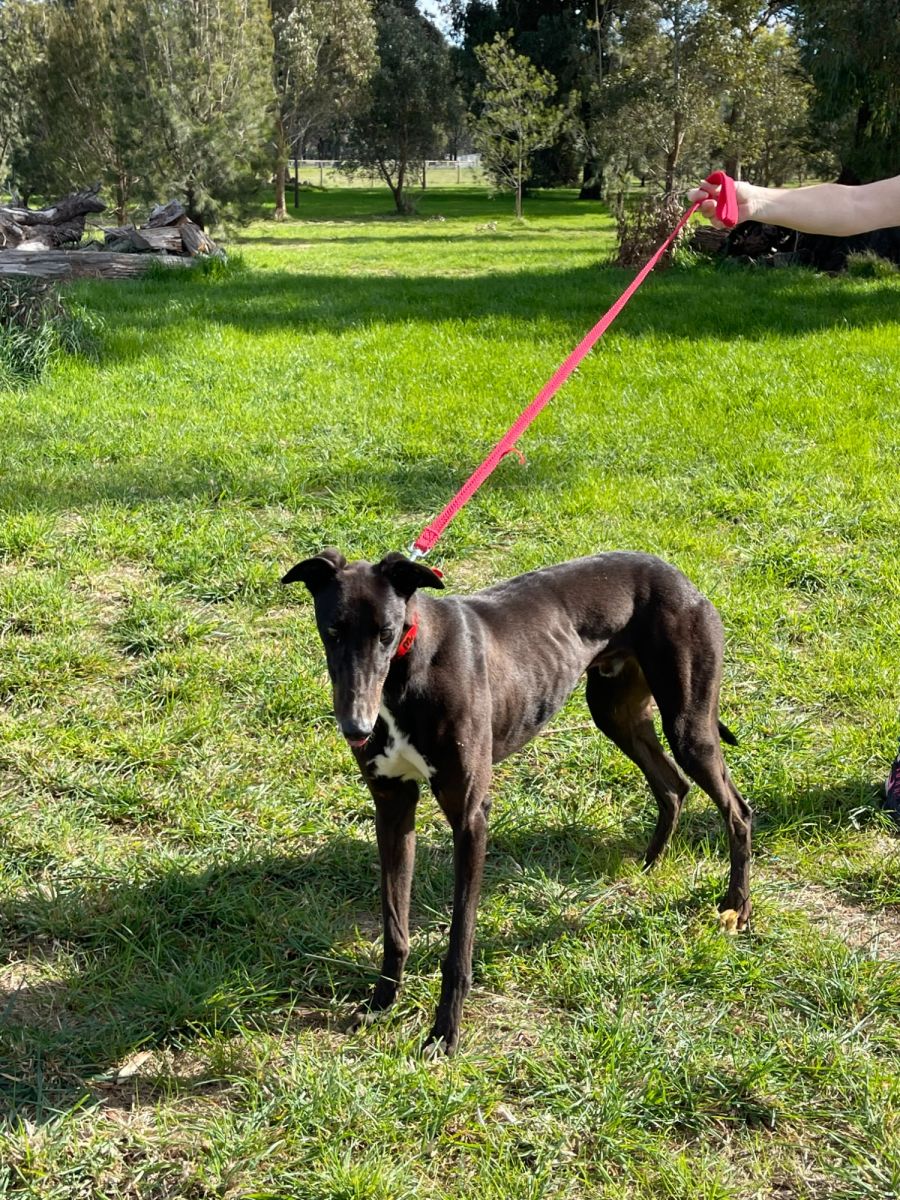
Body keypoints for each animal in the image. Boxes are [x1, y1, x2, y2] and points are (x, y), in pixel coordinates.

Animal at [283, 549, 751, 1054]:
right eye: (332, 630)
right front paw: (380, 1004)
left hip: (689, 725)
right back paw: (649, 865)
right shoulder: (392, 805)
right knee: (672, 786)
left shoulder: (470, 816)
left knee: (737, 811)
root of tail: (675, 574)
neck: (412, 664)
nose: (357, 727)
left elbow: (459, 944)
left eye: (387, 633)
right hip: (615, 712)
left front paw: (444, 1032)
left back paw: (736, 907)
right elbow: (394, 925)